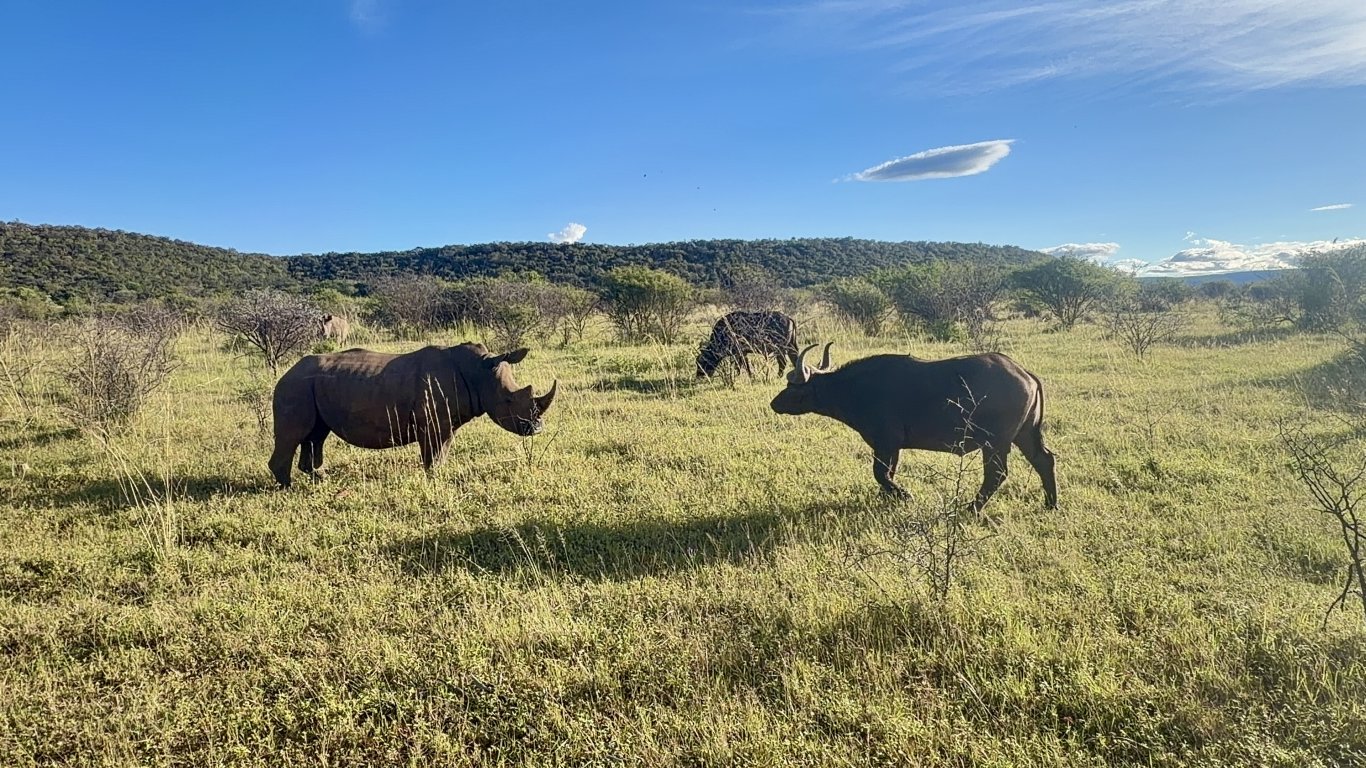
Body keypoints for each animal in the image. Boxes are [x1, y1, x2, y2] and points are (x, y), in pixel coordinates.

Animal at [269, 342, 556, 487]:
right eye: (508, 401)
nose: (536, 428)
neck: (479, 371)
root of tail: (284, 374)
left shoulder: (446, 424)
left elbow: (441, 454)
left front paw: (438, 477)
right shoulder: (430, 423)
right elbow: (431, 456)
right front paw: (432, 481)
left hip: (308, 387)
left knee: (315, 435)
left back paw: (321, 480)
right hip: (294, 388)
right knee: (293, 436)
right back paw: (288, 489)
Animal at [770, 343, 1057, 511]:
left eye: (794, 388)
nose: (774, 403)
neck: (855, 389)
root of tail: (1025, 374)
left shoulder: (885, 442)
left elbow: (880, 474)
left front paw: (904, 496)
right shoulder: (892, 448)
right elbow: (888, 474)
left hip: (995, 442)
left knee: (996, 475)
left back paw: (971, 508)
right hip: (1026, 434)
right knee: (1044, 460)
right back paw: (1051, 504)